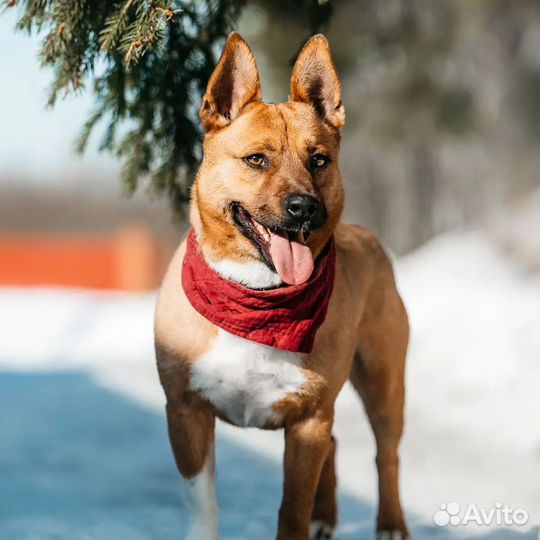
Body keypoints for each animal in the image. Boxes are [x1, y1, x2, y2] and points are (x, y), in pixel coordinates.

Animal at [154, 31, 408, 536]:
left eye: (320, 160)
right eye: (256, 159)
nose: (304, 207)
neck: (257, 296)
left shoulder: (308, 417)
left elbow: (292, 509)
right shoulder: (186, 411)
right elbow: (202, 501)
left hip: (384, 380)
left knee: (385, 454)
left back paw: (390, 522)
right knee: (336, 446)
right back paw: (326, 517)